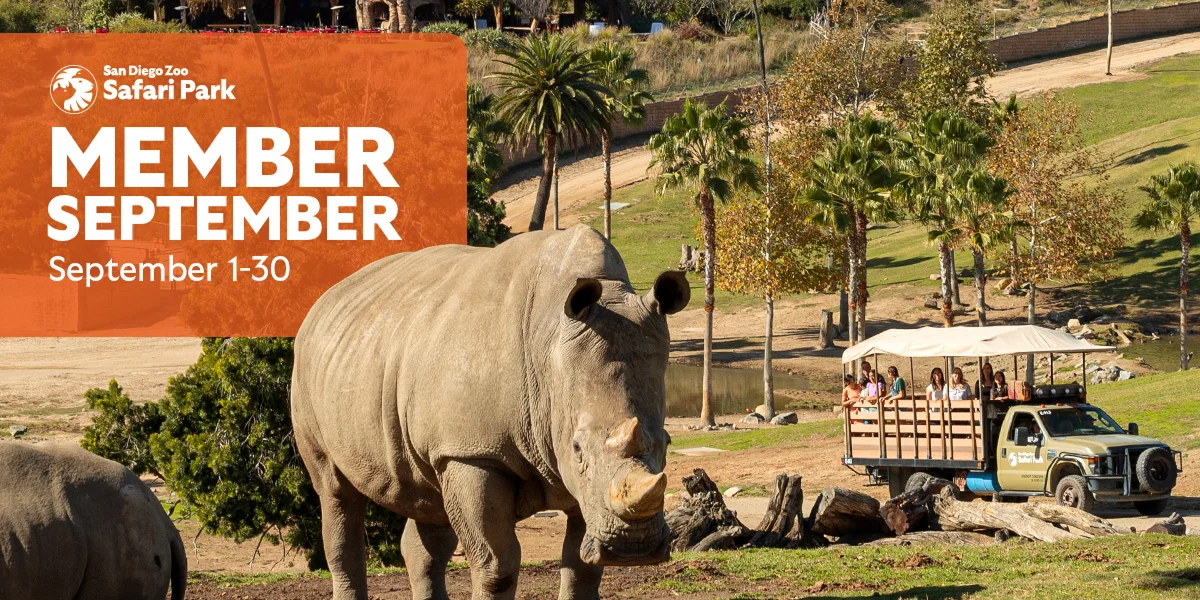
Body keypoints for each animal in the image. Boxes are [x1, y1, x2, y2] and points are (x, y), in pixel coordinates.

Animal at [291, 225, 690, 600]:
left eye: (667, 443)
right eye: (577, 449)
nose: (633, 547)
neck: (550, 347)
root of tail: (324, 301)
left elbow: (581, 569)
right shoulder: (472, 452)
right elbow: (498, 565)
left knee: (428, 505)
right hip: (309, 371)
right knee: (335, 492)